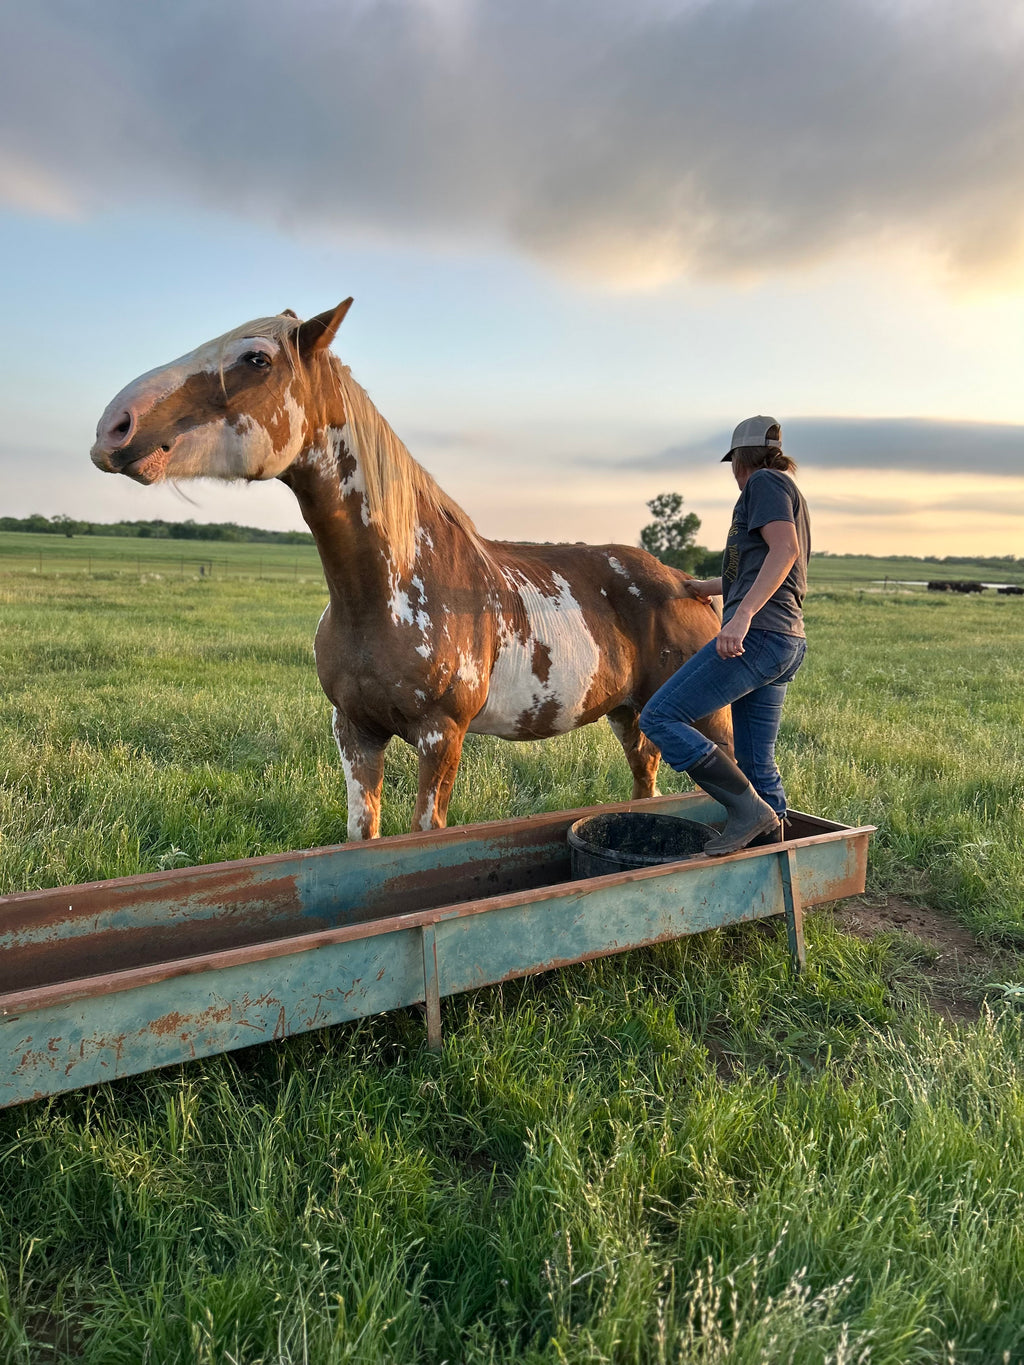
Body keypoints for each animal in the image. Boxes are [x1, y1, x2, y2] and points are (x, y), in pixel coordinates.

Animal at [90, 300, 732, 839]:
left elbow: (427, 829)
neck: (390, 591)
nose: (113, 427)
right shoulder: (354, 732)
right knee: (645, 781)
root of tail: (686, 584)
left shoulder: (440, 736)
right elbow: (363, 834)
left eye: (256, 359)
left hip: (705, 717)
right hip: (631, 716)